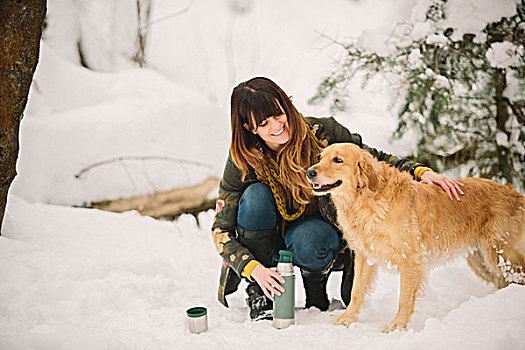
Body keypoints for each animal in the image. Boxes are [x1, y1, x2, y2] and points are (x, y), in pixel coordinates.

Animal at [304, 142, 520, 330]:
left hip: (501, 255)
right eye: (320, 157)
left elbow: (404, 298)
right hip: (480, 260)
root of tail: (515, 193)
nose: (309, 172)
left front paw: (397, 326)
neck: (367, 200)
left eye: (338, 160)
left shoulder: (410, 260)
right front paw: (347, 319)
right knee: (503, 282)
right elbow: (357, 291)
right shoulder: (365, 256)